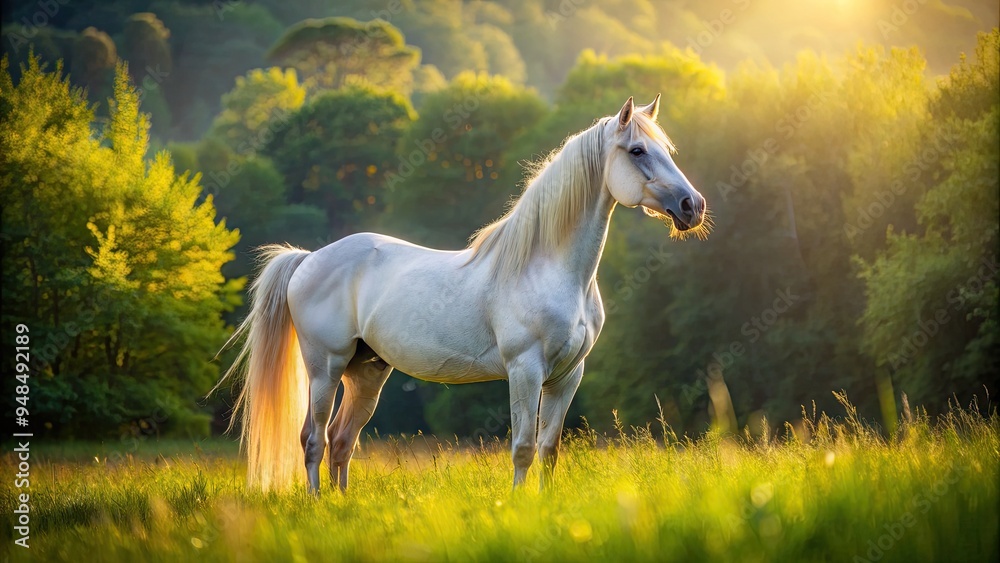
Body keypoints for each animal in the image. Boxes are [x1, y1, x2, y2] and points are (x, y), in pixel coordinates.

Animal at [215, 95, 708, 494]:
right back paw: (318, 504)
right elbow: (523, 447)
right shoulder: (525, 370)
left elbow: (549, 450)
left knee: (341, 441)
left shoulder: (569, 375)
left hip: (367, 372)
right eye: (638, 150)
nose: (693, 206)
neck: (548, 268)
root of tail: (308, 259)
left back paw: (341, 504)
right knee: (314, 439)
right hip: (325, 368)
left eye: (667, 150)